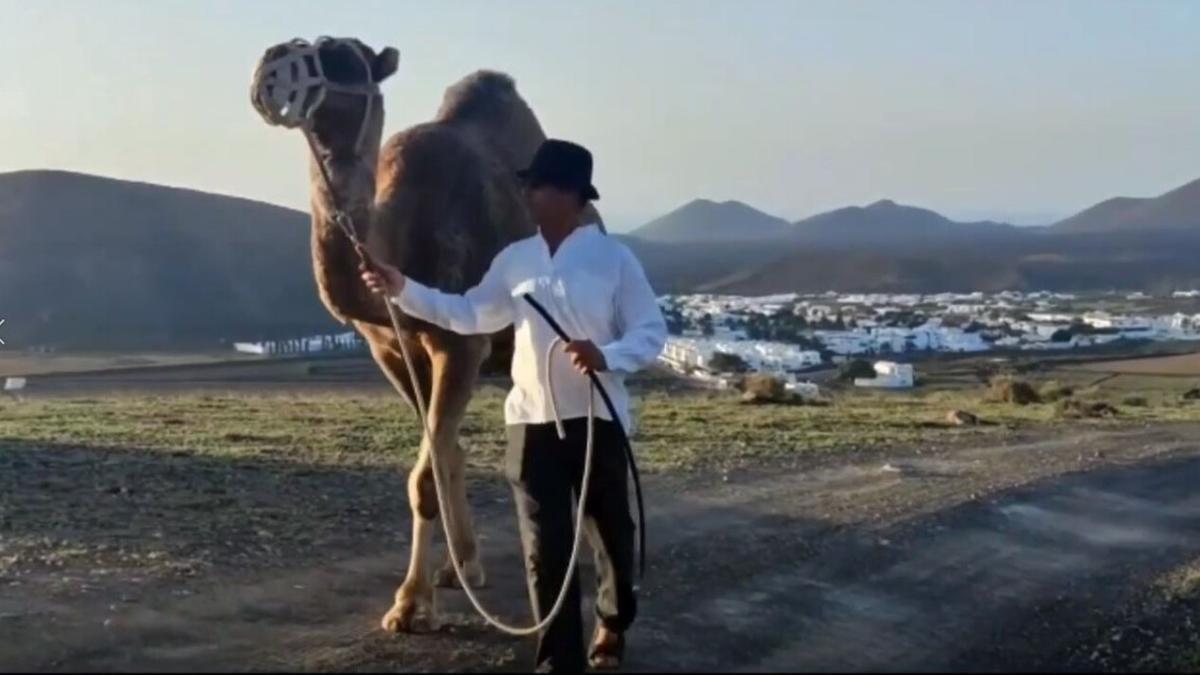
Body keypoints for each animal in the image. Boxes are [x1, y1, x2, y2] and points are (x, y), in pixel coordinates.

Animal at [247, 38, 600, 629]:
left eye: (341, 55)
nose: (269, 64)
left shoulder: (460, 346)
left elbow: (428, 473)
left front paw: (411, 603)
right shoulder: (390, 350)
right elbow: (438, 459)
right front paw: (444, 577)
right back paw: (465, 566)